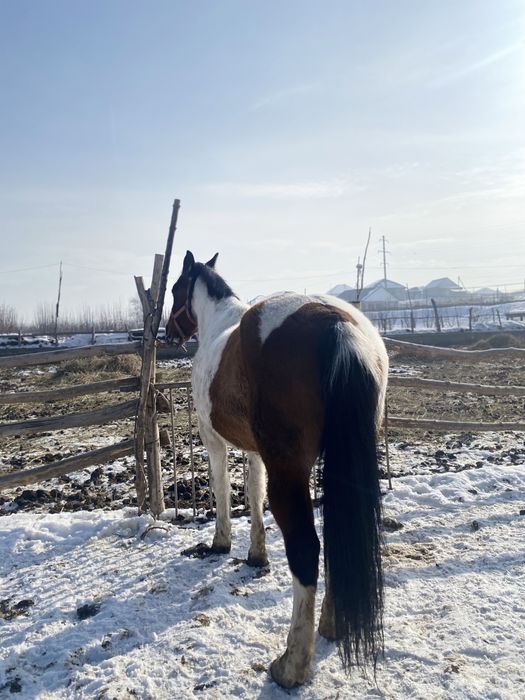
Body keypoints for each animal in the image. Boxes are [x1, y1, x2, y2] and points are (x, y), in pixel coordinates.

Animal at [166, 251, 389, 688]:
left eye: (174, 289)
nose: (166, 332)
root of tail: (336, 323)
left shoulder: (214, 442)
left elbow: (221, 489)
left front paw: (221, 543)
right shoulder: (255, 452)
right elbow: (253, 493)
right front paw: (256, 554)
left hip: (291, 471)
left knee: (307, 548)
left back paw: (291, 665)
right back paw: (332, 625)